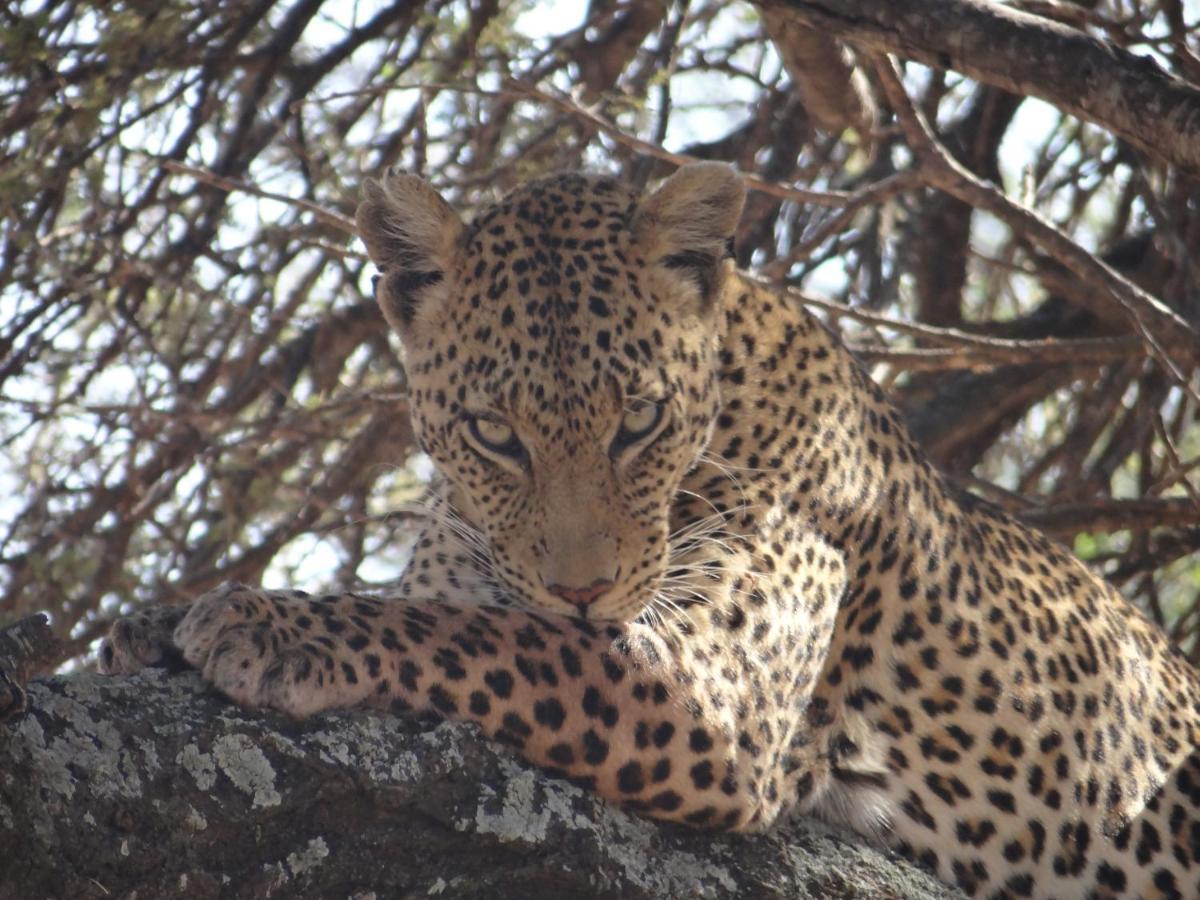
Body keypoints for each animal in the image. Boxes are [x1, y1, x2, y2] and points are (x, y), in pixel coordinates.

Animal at [100, 165, 1200, 897]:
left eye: (638, 420)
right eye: (495, 434)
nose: (584, 590)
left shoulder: (710, 694)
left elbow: (473, 637)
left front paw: (269, 625)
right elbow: (452, 607)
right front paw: (147, 625)